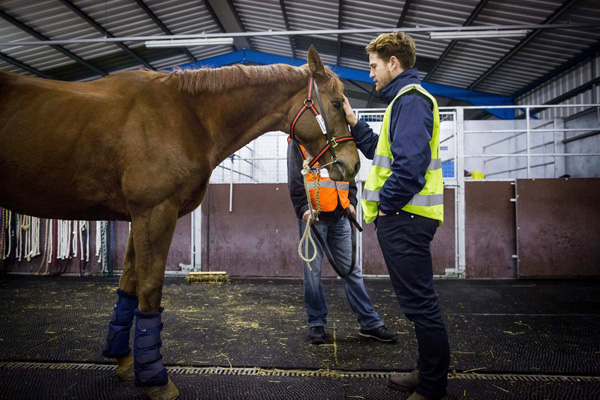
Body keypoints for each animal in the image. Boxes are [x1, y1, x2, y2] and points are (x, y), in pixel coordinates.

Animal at [0, 46, 358, 396]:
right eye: (336, 103)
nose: (352, 165)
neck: (187, 116)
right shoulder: (155, 211)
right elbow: (149, 289)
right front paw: (155, 378)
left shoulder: (139, 217)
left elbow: (128, 285)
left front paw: (125, 362)